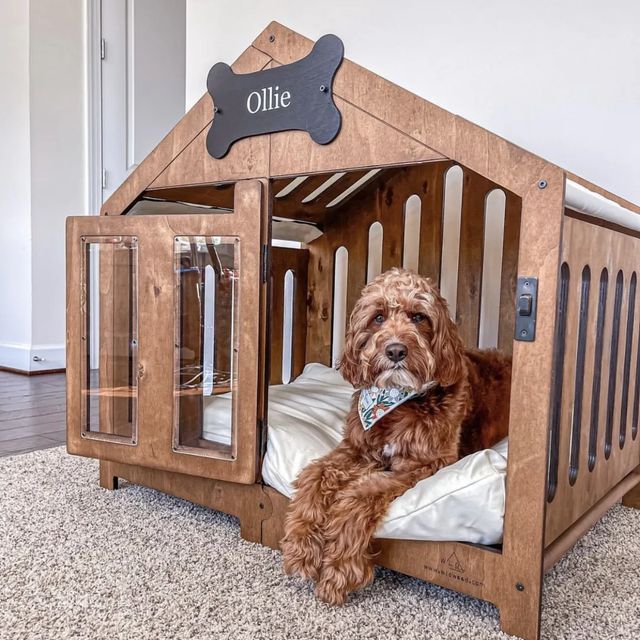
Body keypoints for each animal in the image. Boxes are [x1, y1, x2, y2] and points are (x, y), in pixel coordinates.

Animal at [280, 266, 510, 604]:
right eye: (378, 317)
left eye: (418, 317)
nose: (396, 350)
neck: (397, 400)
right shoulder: (356, 447)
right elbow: (315, 475)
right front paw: (301, 547)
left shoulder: (419, 465)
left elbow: (357, 497)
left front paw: (338, 570)